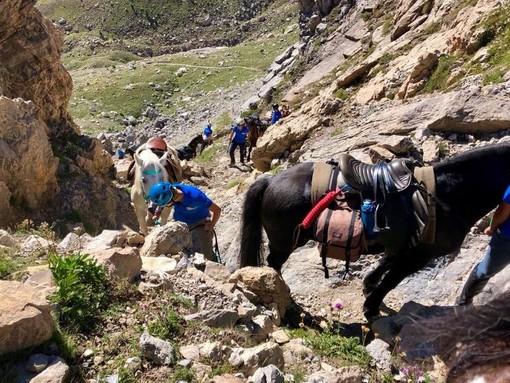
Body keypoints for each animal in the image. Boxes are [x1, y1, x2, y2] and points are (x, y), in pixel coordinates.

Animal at [241, 142, 510, 320]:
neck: (448, 196)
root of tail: (269, 181)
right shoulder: (420, 255)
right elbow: (392, 280)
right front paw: (371, 307)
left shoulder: (403, 246)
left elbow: (385, 265)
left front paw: (368, 286)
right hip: (286, 242)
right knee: (273, 264)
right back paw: (286, 297)